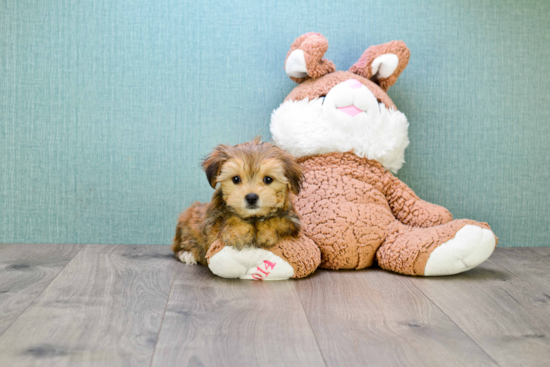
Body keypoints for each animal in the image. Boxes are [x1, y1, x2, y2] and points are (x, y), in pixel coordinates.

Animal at [172, 138, 304, 268]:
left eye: (268, 179)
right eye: (236, 179)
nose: (251, 197)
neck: (252, 216)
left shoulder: (292, 221)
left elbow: (278, 220)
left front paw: (266, 233)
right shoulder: (212, 226)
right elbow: (229, 218)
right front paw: (239, 233)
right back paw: (187, 254)